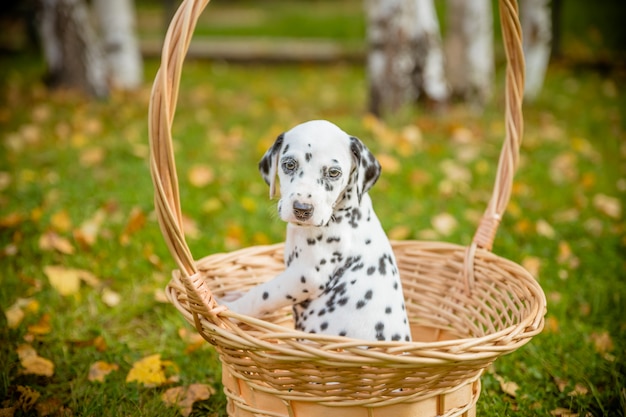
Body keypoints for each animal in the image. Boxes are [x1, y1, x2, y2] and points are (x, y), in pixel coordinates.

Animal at [219, 120, 410, 342]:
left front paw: (231, 308)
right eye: (289, 164)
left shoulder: (306, 275)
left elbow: (262, 294)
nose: (302, 209)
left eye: (334, 172)